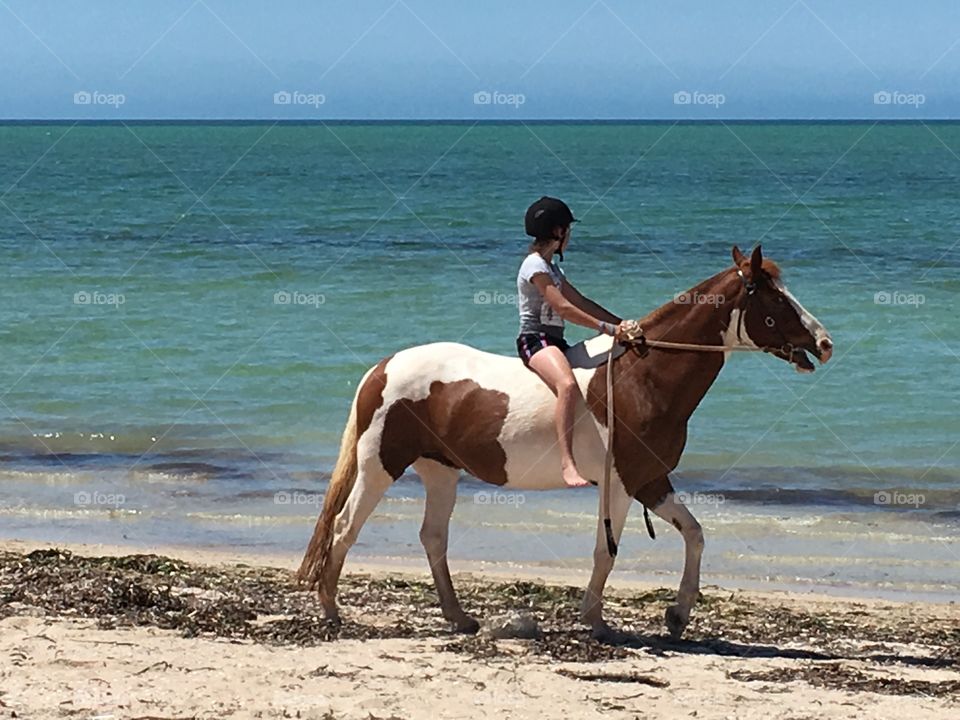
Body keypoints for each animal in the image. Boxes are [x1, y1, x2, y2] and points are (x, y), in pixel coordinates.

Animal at [300, 248, 832, 640]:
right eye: (776, 299)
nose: (825, 343)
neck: (641, 377)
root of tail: (382, 367)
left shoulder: (650, 480)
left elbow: (695, 534)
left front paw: (677, 616)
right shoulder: (620, 483)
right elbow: (607, 551)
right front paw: (596, 620)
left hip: (440, 471)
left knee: (432, 537)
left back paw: (459, 618)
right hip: (381, 465)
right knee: (345, 526)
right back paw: (331, 610)